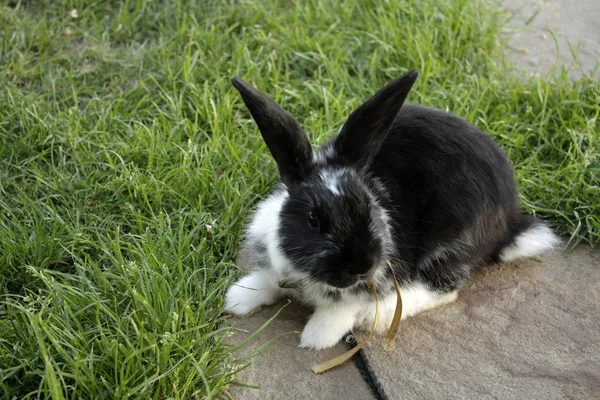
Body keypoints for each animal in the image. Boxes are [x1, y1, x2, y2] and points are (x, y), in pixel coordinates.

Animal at [223, 70, 560, 348]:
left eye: (368, 207)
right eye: (313, 219)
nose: (361, 266)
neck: (304, 275)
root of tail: (510, 223)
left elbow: (340, 310)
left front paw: (317, 336)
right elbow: (266, 282)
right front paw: (238, 298)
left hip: (450, 243)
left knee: (444, 287)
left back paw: (381, 314)